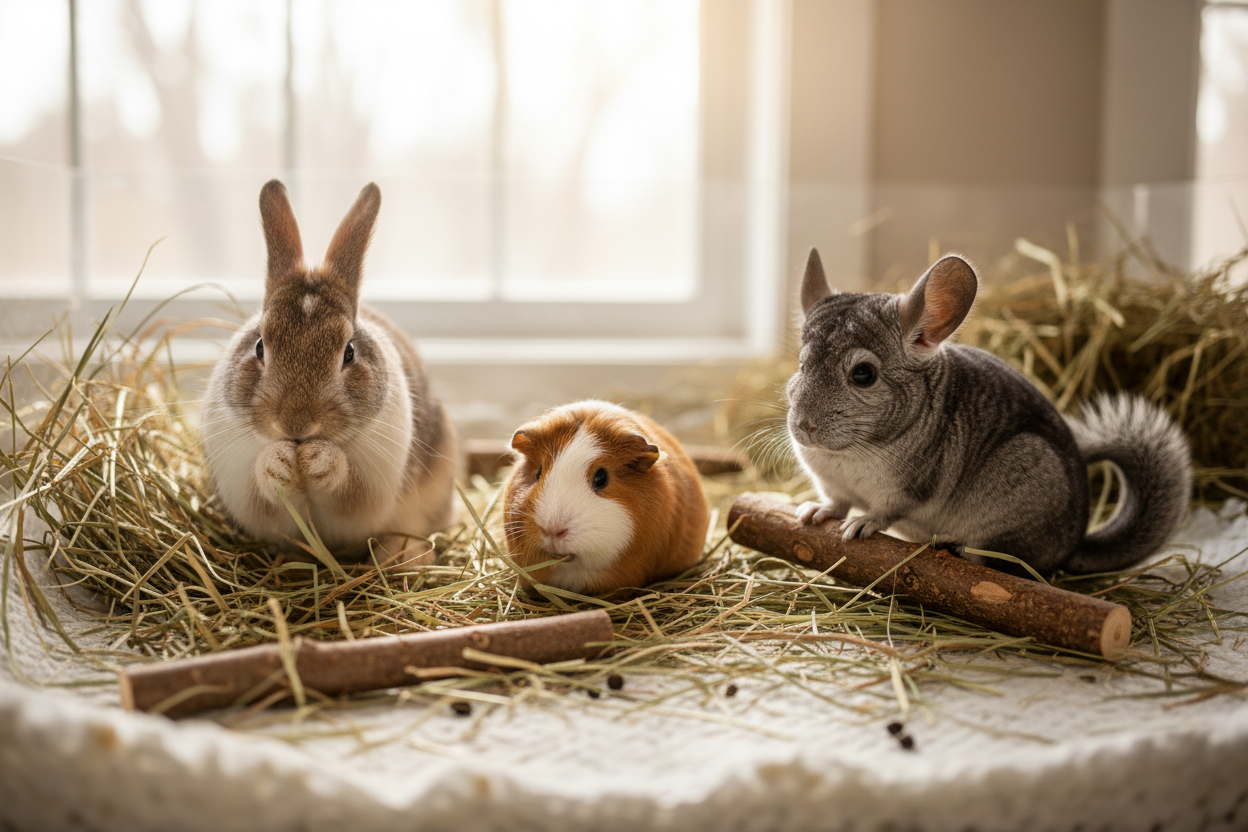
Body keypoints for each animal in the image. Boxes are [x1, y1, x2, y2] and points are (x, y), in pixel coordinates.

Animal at [202, 180, 458, 565]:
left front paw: (318, 460)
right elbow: (264, 493)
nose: (296, 425)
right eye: (260, 346)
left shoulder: (370, 485)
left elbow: (348, 489)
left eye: (348, 352)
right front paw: (280, 462)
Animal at [786, 248, 1192, 576]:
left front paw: (862, 524)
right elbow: (836, 504)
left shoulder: (910, 488)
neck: (853, 452)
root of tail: (1074, 546)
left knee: (1003, 561)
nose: (804, 427)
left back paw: (954, 546)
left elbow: (884, 511)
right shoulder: (832, 485)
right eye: (802, 364)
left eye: (863, 374)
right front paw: (813, 512)